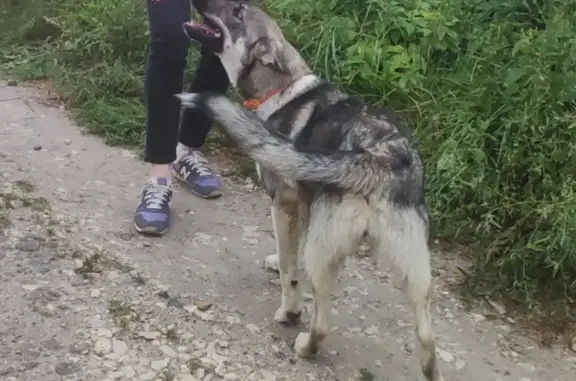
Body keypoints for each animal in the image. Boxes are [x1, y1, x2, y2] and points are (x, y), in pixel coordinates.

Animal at [180, 0, 446, 378]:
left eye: (238, 12)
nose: (196, 2)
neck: (281, 87)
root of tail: (379, 158)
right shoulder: (303, 205)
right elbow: (290, 254)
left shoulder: (283, 203)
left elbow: (289, 268)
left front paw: (288, 301)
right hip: (413, 268)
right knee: (426, 335)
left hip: (328, 251)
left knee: (321, 322)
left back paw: (304, 341)